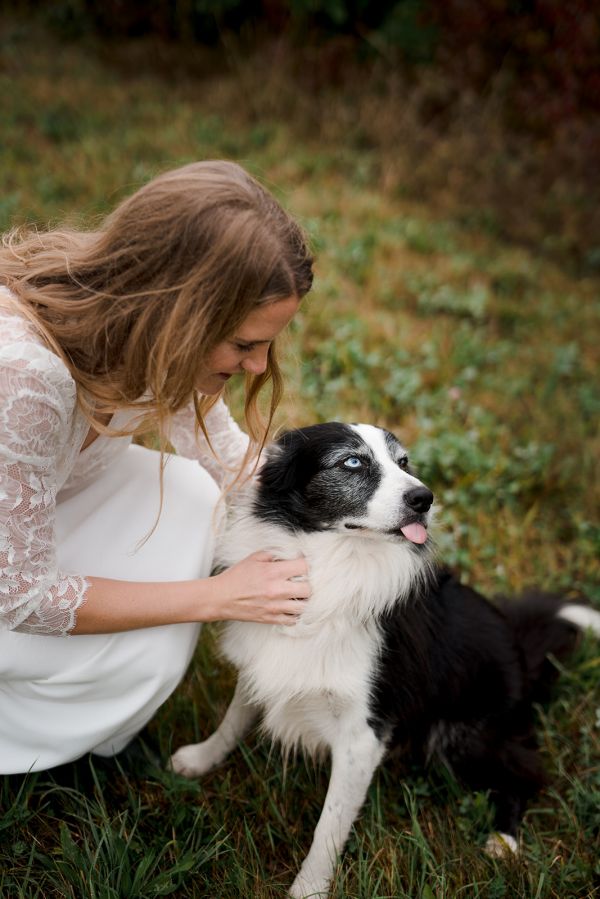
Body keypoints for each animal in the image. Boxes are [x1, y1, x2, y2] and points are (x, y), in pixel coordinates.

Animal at [170, 424, 600, 899]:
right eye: (352, 462)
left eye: (404, 462)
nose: (425, 498)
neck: (334, 564)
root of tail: (521, 650)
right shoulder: (264, 664)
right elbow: (232, 720)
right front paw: (201, 758)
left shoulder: (363, 734)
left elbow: (329, 826)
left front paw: (309, 888)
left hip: (465, 736)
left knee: (525, 772)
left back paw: (504, 839)